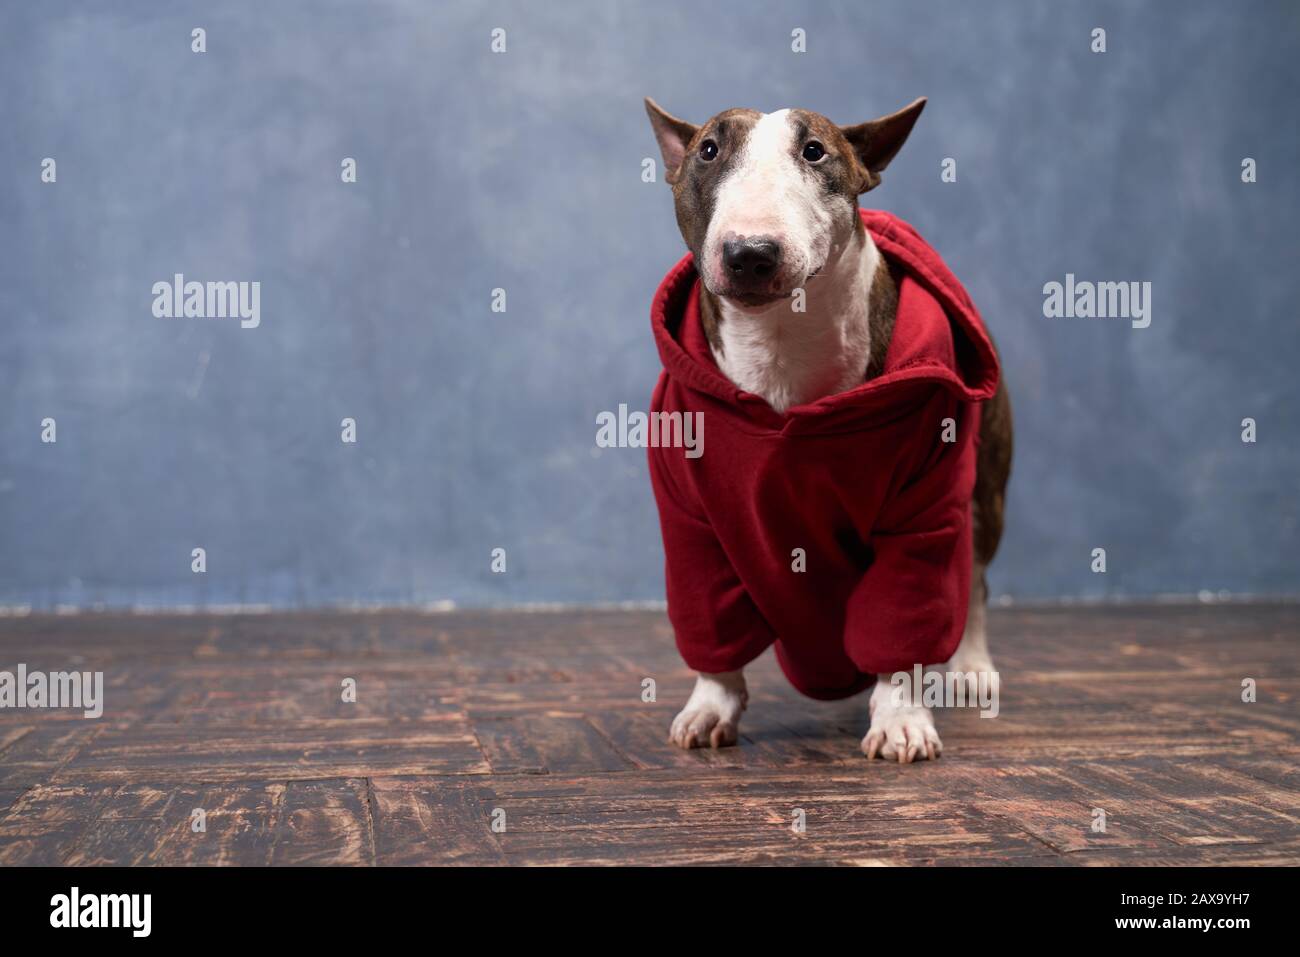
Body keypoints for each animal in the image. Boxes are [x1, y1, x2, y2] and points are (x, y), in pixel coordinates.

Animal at [644, 98, 1008, 764]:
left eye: (815, 151)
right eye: (708, 149)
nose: (750, 253)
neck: (781, 348)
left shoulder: (924, 507)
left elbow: (906, 611)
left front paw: (901, 719)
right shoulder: (688, 515)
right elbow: (707, 616)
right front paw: (710, 706)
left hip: (982, 491)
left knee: (973, 577)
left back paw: (971, 666)